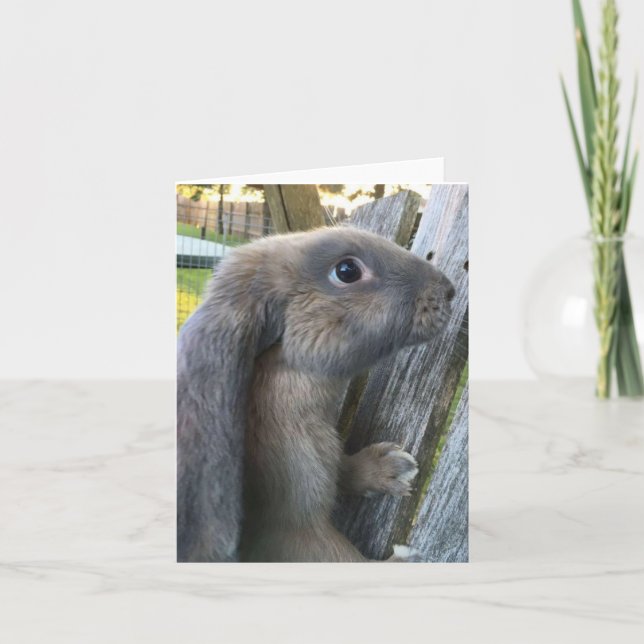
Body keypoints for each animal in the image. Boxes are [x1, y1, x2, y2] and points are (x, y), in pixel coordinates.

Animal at [177, 226, 455, 562]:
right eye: (347, 271)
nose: (449, 290)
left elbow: (342, 471)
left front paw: (391, 467)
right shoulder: (295, 531)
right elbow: (346, 559)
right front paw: (407, 558)